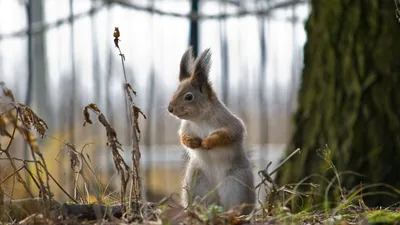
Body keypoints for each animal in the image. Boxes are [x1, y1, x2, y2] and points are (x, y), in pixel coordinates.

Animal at [167, 47, 255, 214]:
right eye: (174, 91)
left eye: (189, 96)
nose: (170, 109)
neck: (199, 119)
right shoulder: (186, 127)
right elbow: (182, 137)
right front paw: (191, 141)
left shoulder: (230, 123)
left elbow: (229, 134)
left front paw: (208, 142)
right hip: (195, 182)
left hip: (236, 184)